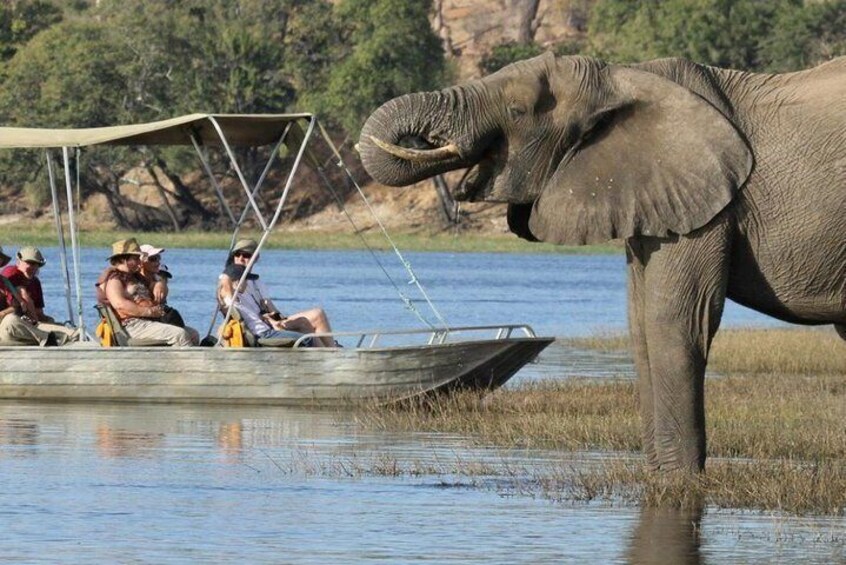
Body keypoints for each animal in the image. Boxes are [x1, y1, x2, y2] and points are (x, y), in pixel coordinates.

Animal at [360, 54, 846, 472]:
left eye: (518, 110)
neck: (622, 77)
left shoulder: (709, 202)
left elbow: (674, 319)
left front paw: (677, 480)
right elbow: (640, 324)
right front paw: (658, 477)